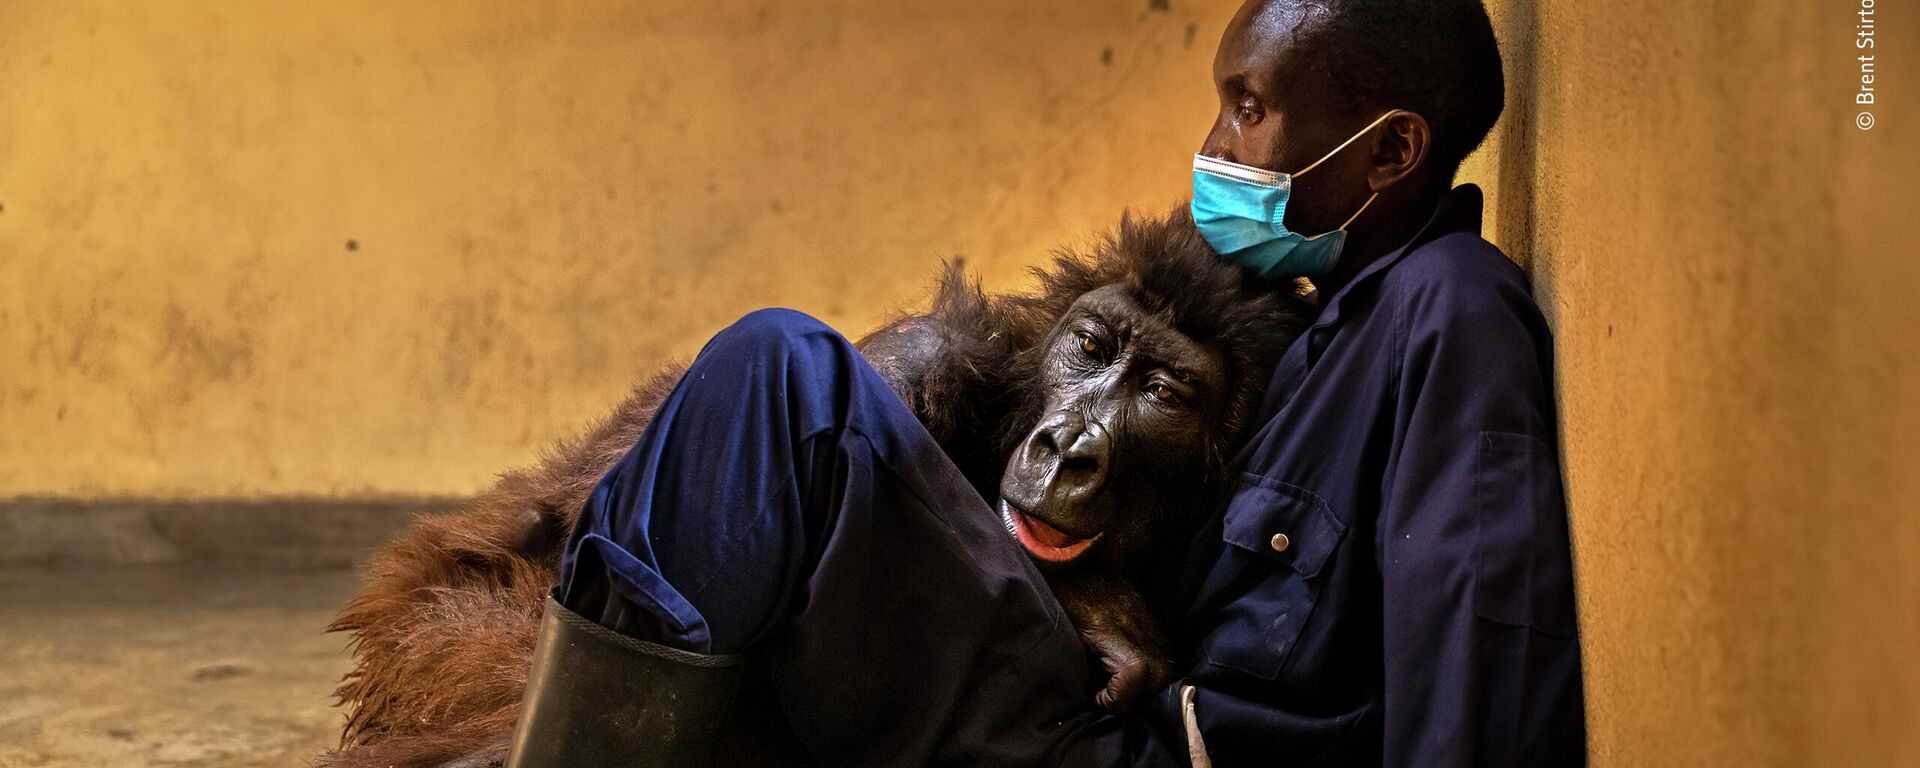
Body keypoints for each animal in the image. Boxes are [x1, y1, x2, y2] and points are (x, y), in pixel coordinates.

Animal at [330, 207, 1313, 764]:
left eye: (1163, 393)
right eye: (1093, 347)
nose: (1071, 446)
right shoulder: (917, 358)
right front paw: (1104, 608)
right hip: (437, 641)